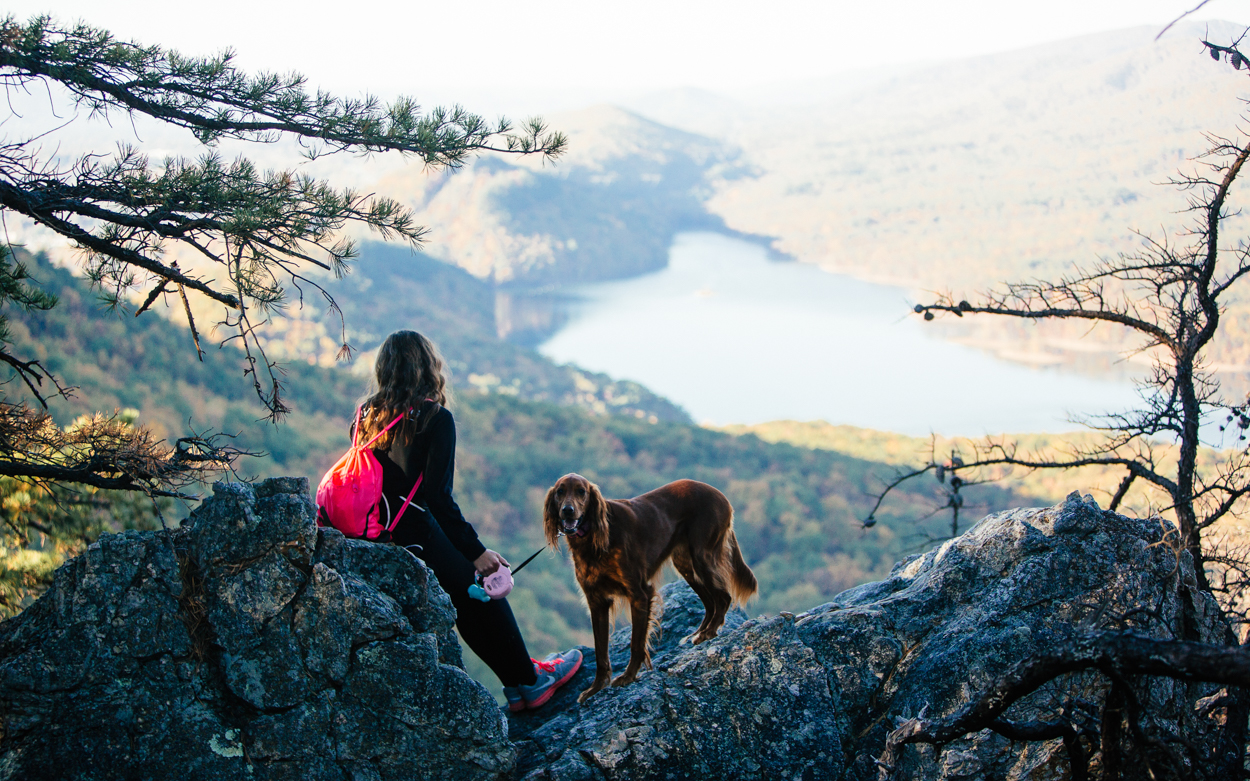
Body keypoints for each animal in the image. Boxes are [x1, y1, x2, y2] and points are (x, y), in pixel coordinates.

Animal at [545, 472, 755, 704]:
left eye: (581, 491)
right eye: (560, 492)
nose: (567, 510)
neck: (592, 540)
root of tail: (722, 496)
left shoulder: (639, 593)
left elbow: (636, 643)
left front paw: (628, 677)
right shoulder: (597, 602)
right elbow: (601, 653)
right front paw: (596, 688)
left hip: (702, 556)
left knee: (723, 597)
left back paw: (708, 632)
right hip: (686, 564)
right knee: (710, 601)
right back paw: (698, 633)